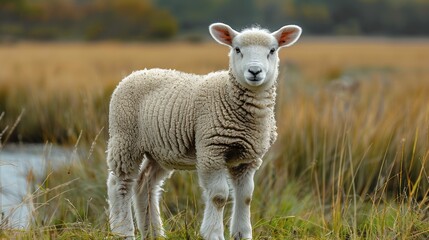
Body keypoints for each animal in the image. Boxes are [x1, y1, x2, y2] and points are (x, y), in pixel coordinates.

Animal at [106, 22, 300, 238]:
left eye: (272, 50)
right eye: (237, 49)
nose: (255, 71)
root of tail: (139, 72)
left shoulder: (248, 159)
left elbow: (246, 196)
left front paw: (242, 234)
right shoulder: (211, 150)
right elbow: (219, 196)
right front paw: (213, 234)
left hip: (160, 151)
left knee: (144, 184)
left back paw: (154, 233)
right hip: (125, 138)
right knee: (120, 184)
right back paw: (123, 231)